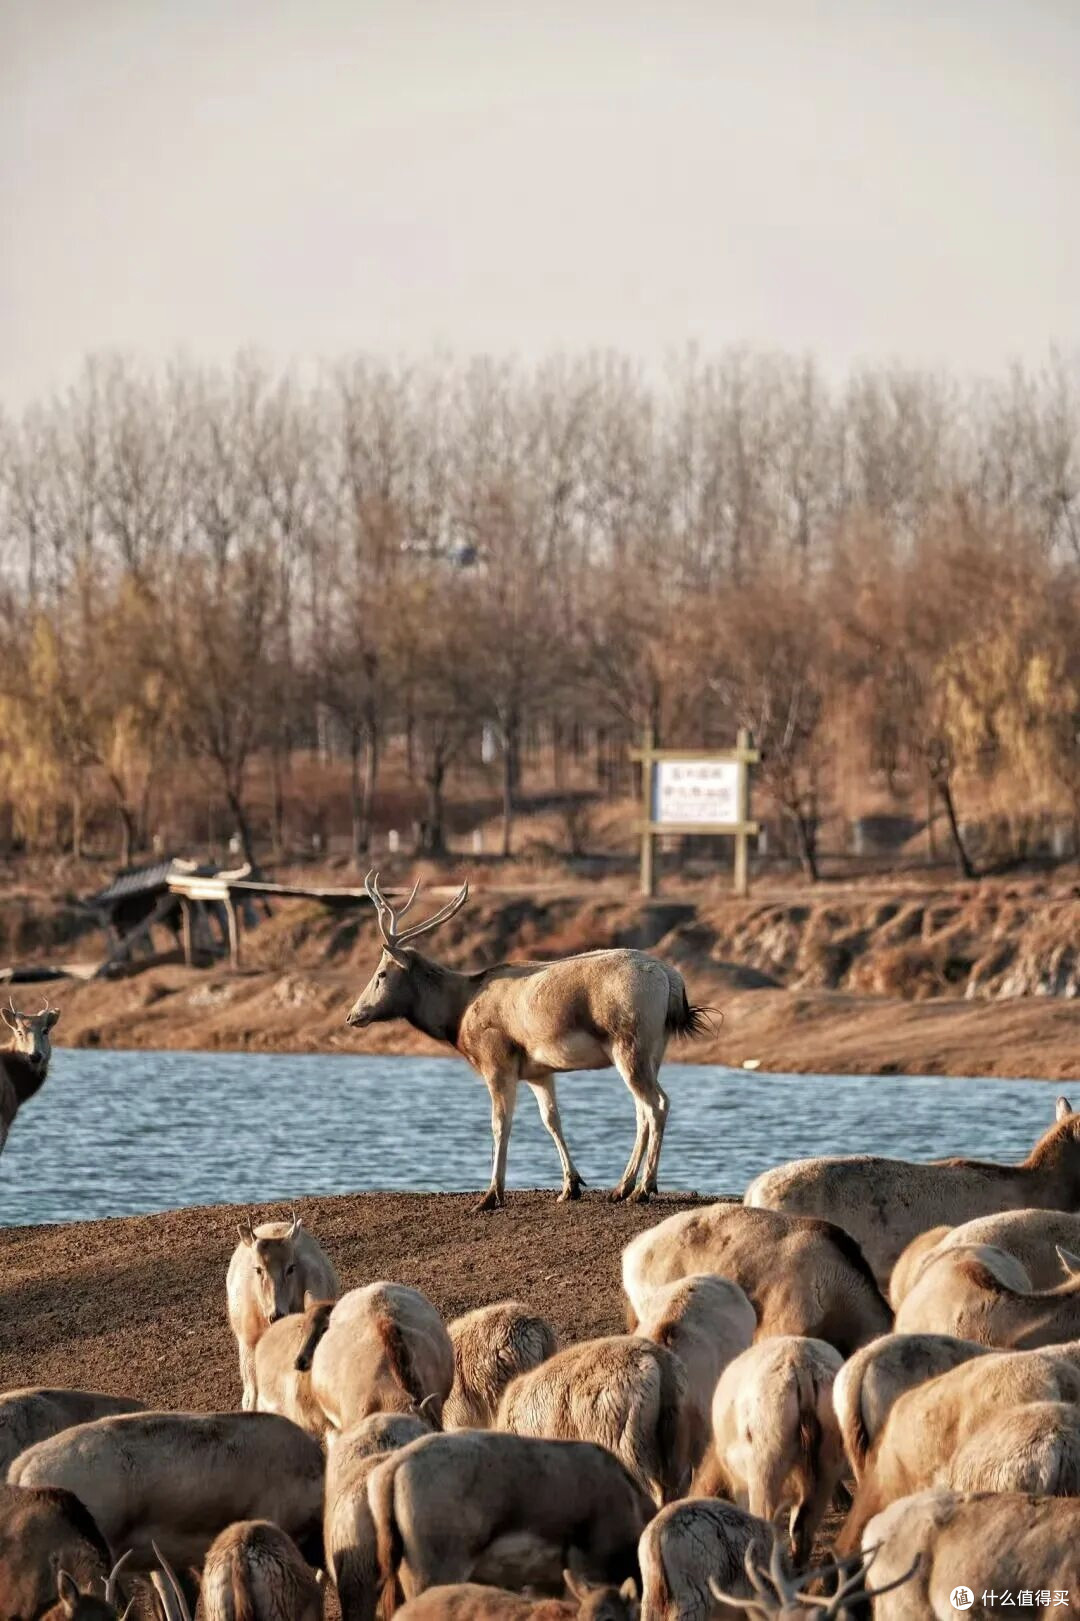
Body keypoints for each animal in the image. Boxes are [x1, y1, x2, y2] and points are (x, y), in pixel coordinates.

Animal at [345, 873, 711, 1210]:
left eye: (380, 974)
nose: (352, 1015)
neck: (459, 1013)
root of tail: (672, 980)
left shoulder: (496, 1060)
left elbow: (500, 1124)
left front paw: (490, 1196)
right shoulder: (538, 1071)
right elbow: (551, 1120)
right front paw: (570, 1186)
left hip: (628, 1043)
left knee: (657, 1104)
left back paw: (643, 1188)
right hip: (654, 1049)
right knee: (641, 1110)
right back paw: (622, 1187)